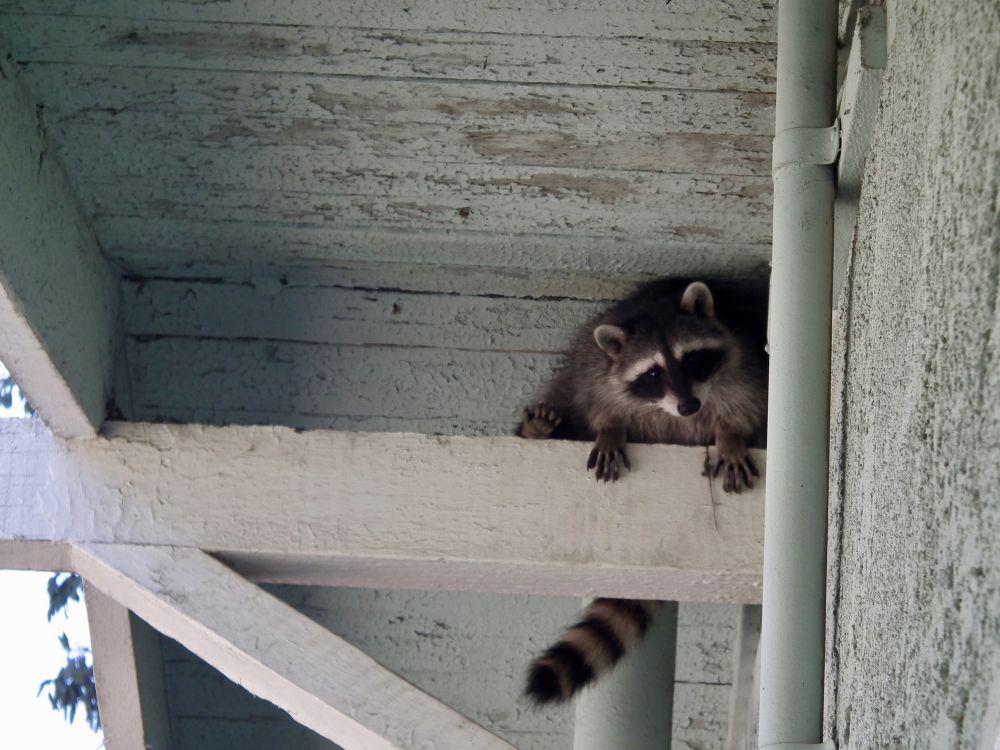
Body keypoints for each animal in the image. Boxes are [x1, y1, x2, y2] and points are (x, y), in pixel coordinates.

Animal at [518, 278, 768, 704]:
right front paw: (610, 428)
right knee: (562, 391)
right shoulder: (597, 373)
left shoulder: (744, 359)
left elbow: (745, 403)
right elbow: (600, 402)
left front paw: (730, 437)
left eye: (691, 359)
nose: (689, 406)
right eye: (653, 373)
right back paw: (538, 430)